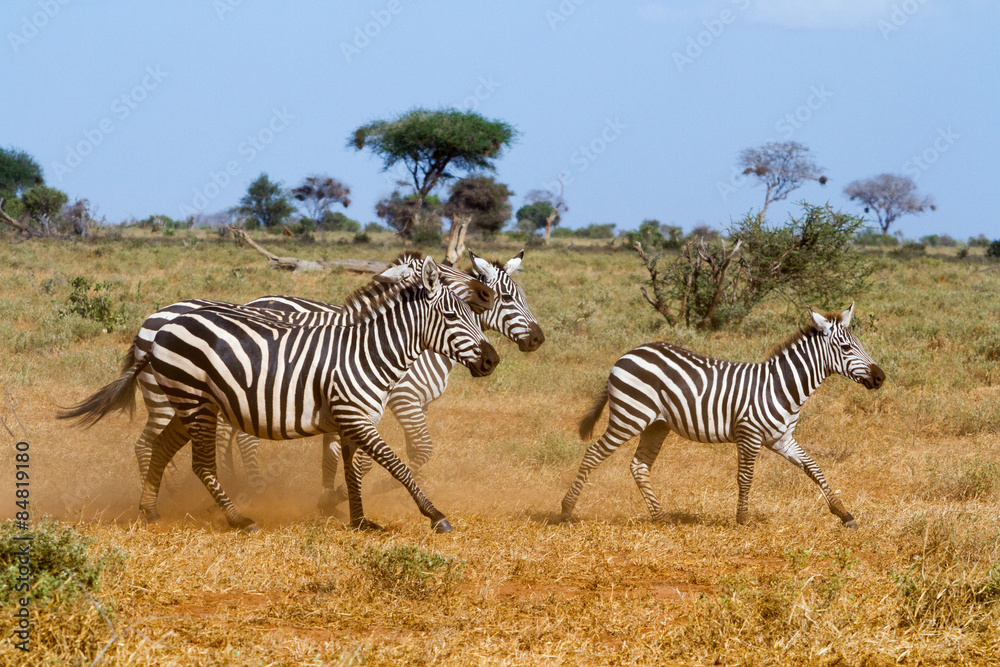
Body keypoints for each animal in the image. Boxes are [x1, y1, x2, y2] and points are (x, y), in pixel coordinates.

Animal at [59, 256, 499, 533]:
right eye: (452, 316)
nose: (492, 360)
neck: (368, 353)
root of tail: (159, 329)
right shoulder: (354, 417)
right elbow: (397, 465)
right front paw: (435, 515)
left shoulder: (352, 421)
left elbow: (354, 471)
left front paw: (358, 520)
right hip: (195, 403)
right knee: (200, 465)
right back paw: (239, 520)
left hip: (189, 405)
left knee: (162, 447)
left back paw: (150, 510)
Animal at [561, 304, 885, 528]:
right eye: (846, 347)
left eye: (860, 345)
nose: (881, 377)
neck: (781, 386)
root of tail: (628, 353)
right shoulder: (750, 435)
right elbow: (746, 477)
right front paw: (743, 519)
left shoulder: (781, 438)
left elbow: (814, 469)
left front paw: (844, 513)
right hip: (629, 417)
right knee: (593, 454)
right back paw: (566, 510)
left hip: (656, 425)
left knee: (639, 466)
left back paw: (661, 516)